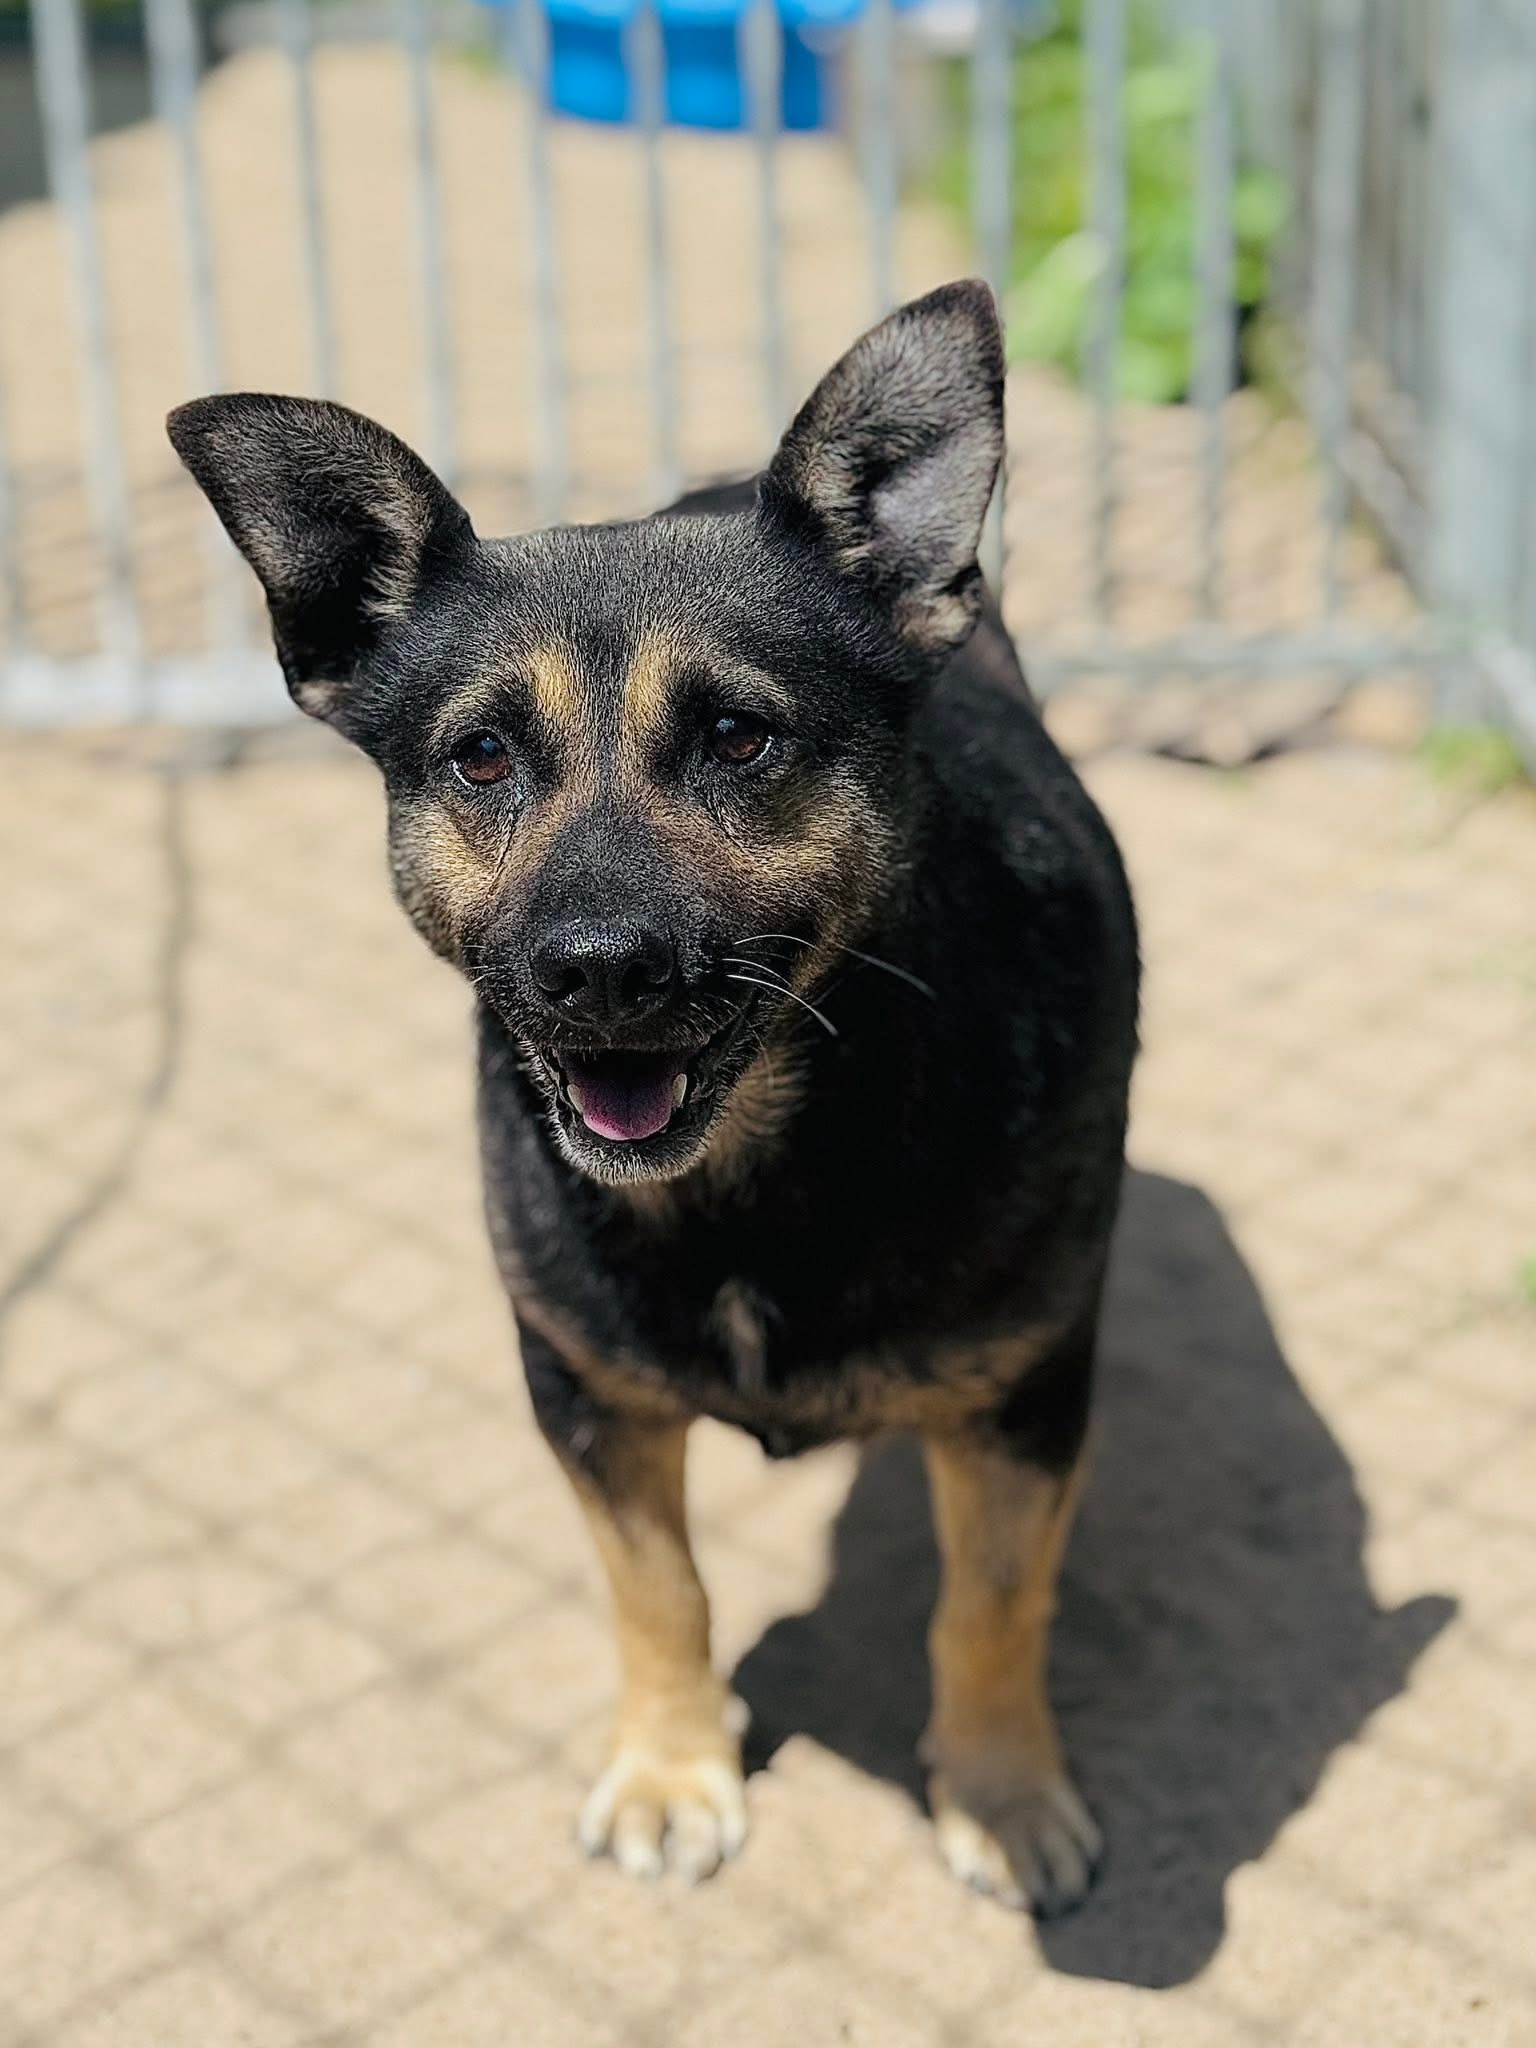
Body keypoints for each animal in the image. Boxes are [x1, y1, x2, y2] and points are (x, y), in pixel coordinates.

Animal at [168, 280, 1139, 1915]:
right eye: (482, 755)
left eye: (740, 736)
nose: (596, 971)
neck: (761, 1161)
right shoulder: (585, 1393)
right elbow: (660, 1589)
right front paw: (673, 1769)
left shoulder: (1023, 1397)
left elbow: (992, 1605)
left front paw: (1003, 1793)